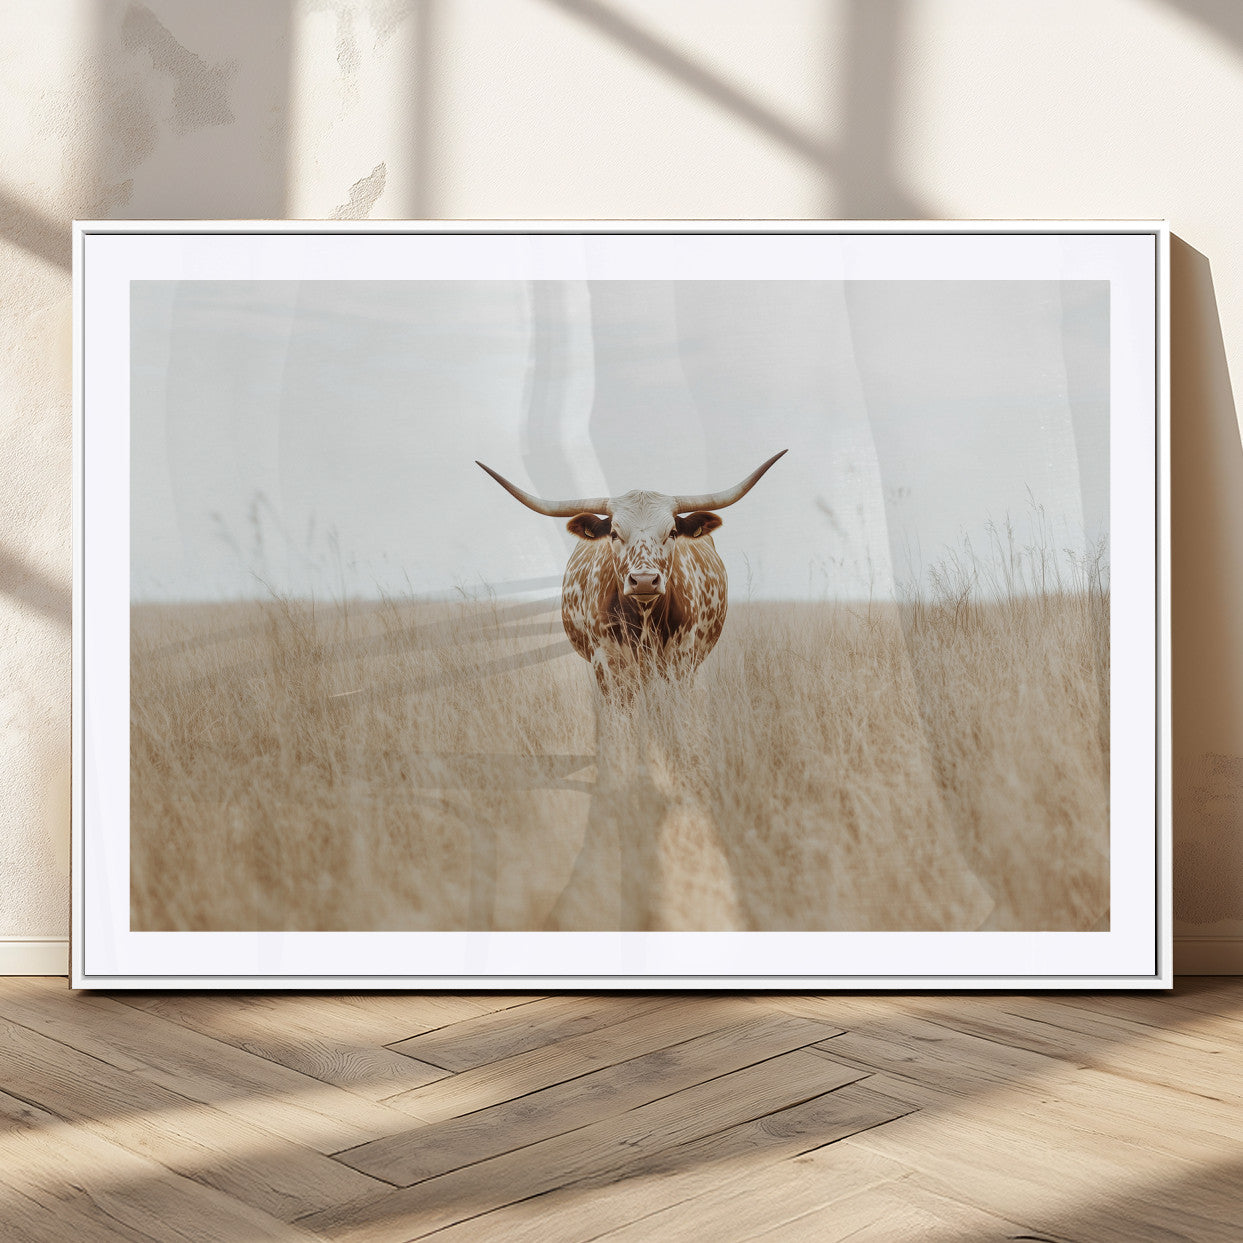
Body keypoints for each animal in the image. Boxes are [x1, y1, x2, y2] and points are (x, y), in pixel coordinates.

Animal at [476, 451, 787, 696]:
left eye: (672, 532)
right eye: (614, 533)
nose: (645, 581)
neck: (644, 619)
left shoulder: (681, 662)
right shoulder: (607, 665)